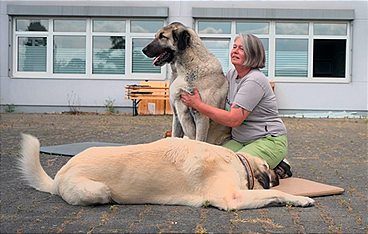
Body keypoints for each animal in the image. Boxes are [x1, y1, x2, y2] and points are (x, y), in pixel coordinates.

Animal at [18, 133, 314, 210]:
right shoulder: (232, 198)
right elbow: (275, 193)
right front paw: (301, 199)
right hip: (98, 189)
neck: (236, 161)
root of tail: (58, 176)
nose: (289, 170)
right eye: (281, 168)